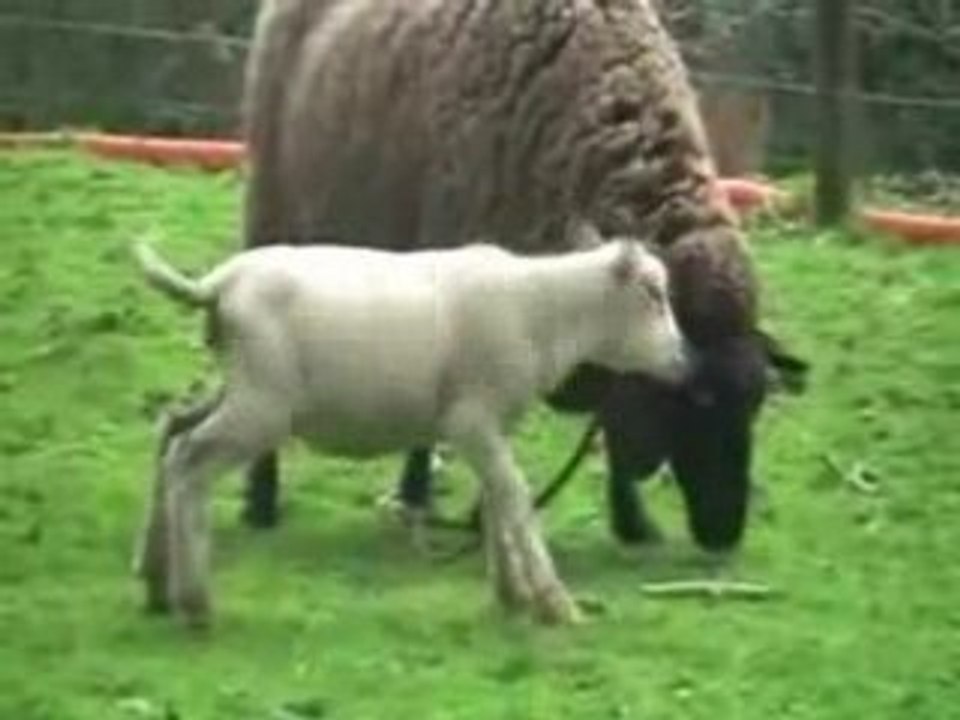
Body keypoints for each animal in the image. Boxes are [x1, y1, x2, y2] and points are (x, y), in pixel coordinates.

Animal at [132, 230, 690, 627]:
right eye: (653, 294)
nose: (685, 363)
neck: (543, 313)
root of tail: (219, 285)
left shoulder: (489, 427)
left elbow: (496, 499)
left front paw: (512, 592)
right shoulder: (471, 420)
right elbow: (515, 496)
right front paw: (553, 601)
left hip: (238, 388)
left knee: (174, 432)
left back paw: (156, 579)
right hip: (262, 404)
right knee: (190, 463)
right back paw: (194, 600)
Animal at [238, 0, 809, 551]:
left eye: (757, 403)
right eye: (697, 402)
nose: (724, 535)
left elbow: (608, 415)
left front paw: (631, 523)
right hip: (274, 211)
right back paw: (265, 502)